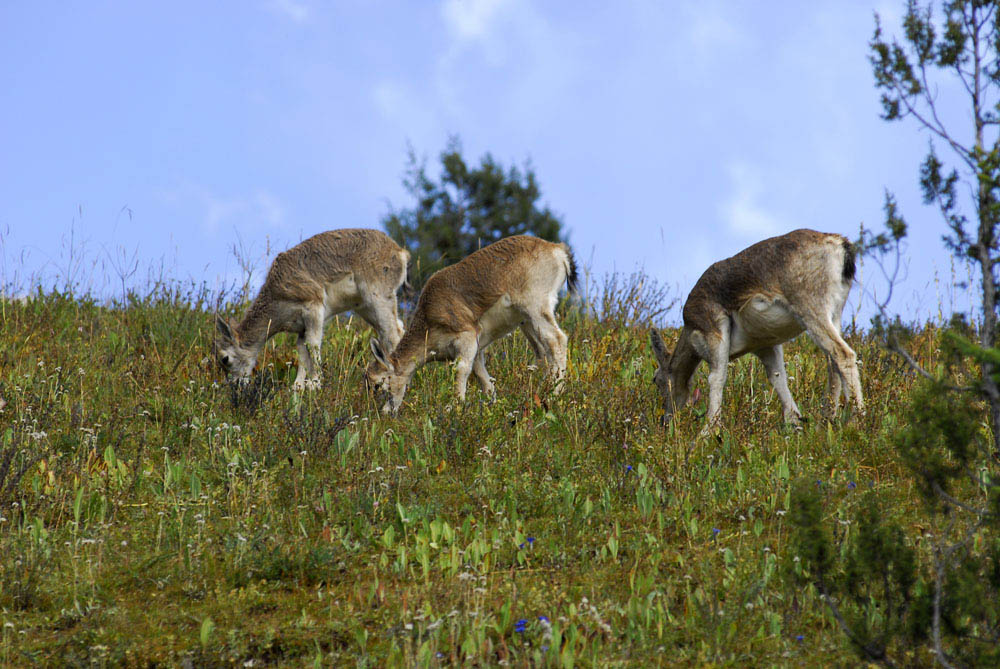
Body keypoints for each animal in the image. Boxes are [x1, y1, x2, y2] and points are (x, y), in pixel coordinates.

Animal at [216, 227, 410, 388]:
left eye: (225, 358)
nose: (234, 386)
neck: (277, 299)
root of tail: (401, 253)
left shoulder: (314, 307)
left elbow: (314, 344)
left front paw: (315, 383)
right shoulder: (301, 327)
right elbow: (302, 351)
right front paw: (297, 386)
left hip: (379, 298)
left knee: (393, 334)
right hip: (366, 308)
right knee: (394, 330)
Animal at [368, 235, 576, 412]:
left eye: (378, 384)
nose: (384, 412)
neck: (429, 317)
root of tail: (556, 250)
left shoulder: (466, 339)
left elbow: (461, 371)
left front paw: (455, 407)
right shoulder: (477, 351)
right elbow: (484, 380)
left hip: (536, 309)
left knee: (557, 339)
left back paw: (554, 393)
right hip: (528, 322)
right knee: (543, 352)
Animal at [652, 227, 864, 430]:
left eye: (656, 379)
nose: (664, 421)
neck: (691, 331)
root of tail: (841, 246)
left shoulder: (716, 333)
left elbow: (716, 378)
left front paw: (708, 432)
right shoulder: (766, 346)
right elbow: (778, 378)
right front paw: (794, 424)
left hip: (812, 311)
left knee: (843, 355)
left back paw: (854, 421)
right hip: (834, 315)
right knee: (832, 363)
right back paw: (825, 422)